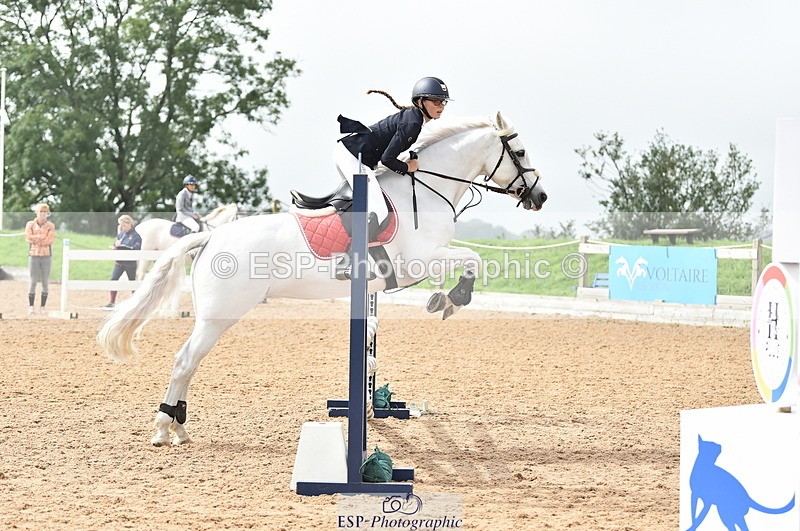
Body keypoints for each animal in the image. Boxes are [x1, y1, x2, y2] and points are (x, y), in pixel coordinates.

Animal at [98, 112, 548, 447]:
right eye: (520, 151)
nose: (540, 197)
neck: (426, 190)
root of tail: (211, 236)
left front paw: (444, 300)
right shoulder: (419, 261)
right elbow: (472, 260)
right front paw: (453, 299)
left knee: (187, 363)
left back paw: (178, 427)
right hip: (219, 315)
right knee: (185, 361)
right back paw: (165, 427)